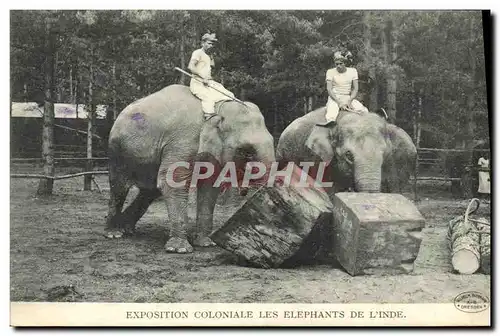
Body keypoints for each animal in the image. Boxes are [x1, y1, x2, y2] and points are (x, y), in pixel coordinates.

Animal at [105, 83, 276, 252]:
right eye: (246, 151)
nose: (245, 191)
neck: (216, 109)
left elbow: (209, 186)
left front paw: (206, 244)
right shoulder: (183, 140)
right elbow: (173, 181)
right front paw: (179, 249)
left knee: (149, 191)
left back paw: (127, 229)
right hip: (118, 152)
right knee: (119, 187)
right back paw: (114, 233)